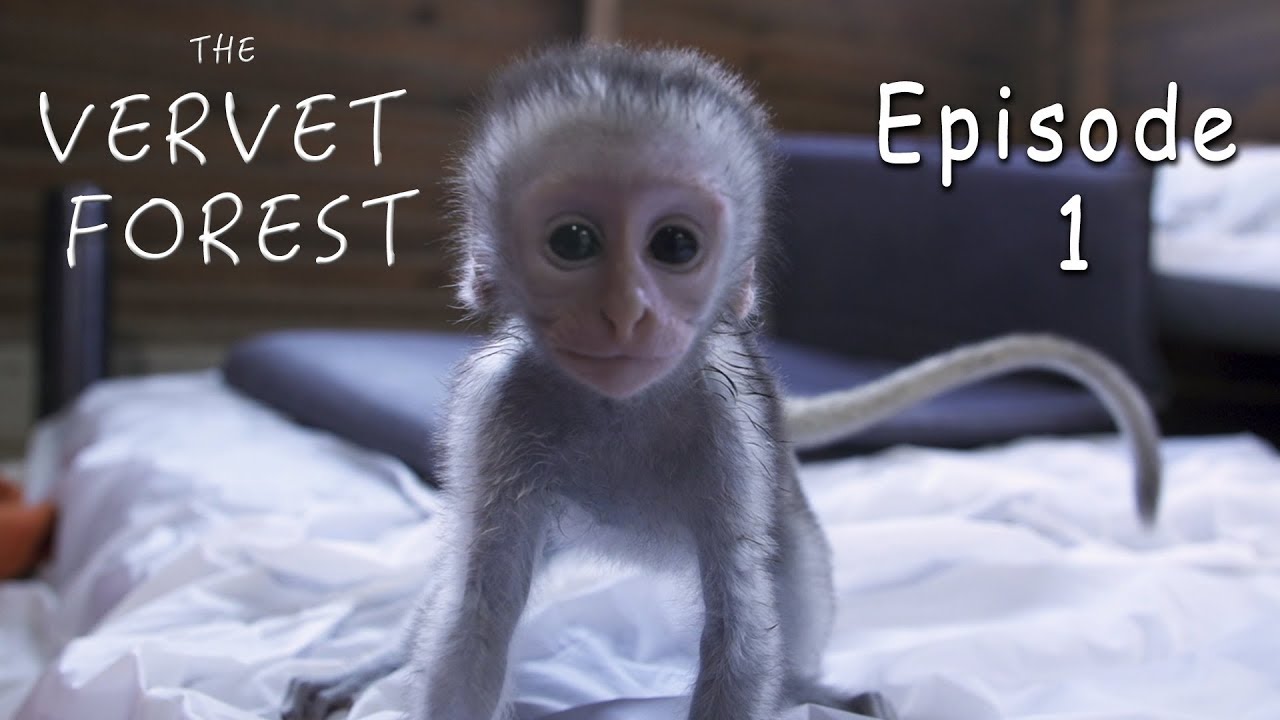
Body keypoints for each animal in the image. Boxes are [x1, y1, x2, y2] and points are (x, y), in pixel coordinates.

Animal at [281, 44, 1160, 720]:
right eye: (573, 241)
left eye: (674, 245)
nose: (626, 313)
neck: (617, 412)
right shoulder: (497, 415)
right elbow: (479, 610)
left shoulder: (724, 431)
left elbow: (739, 619)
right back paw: (369, 668)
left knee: (793, 555)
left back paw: (806, 687)